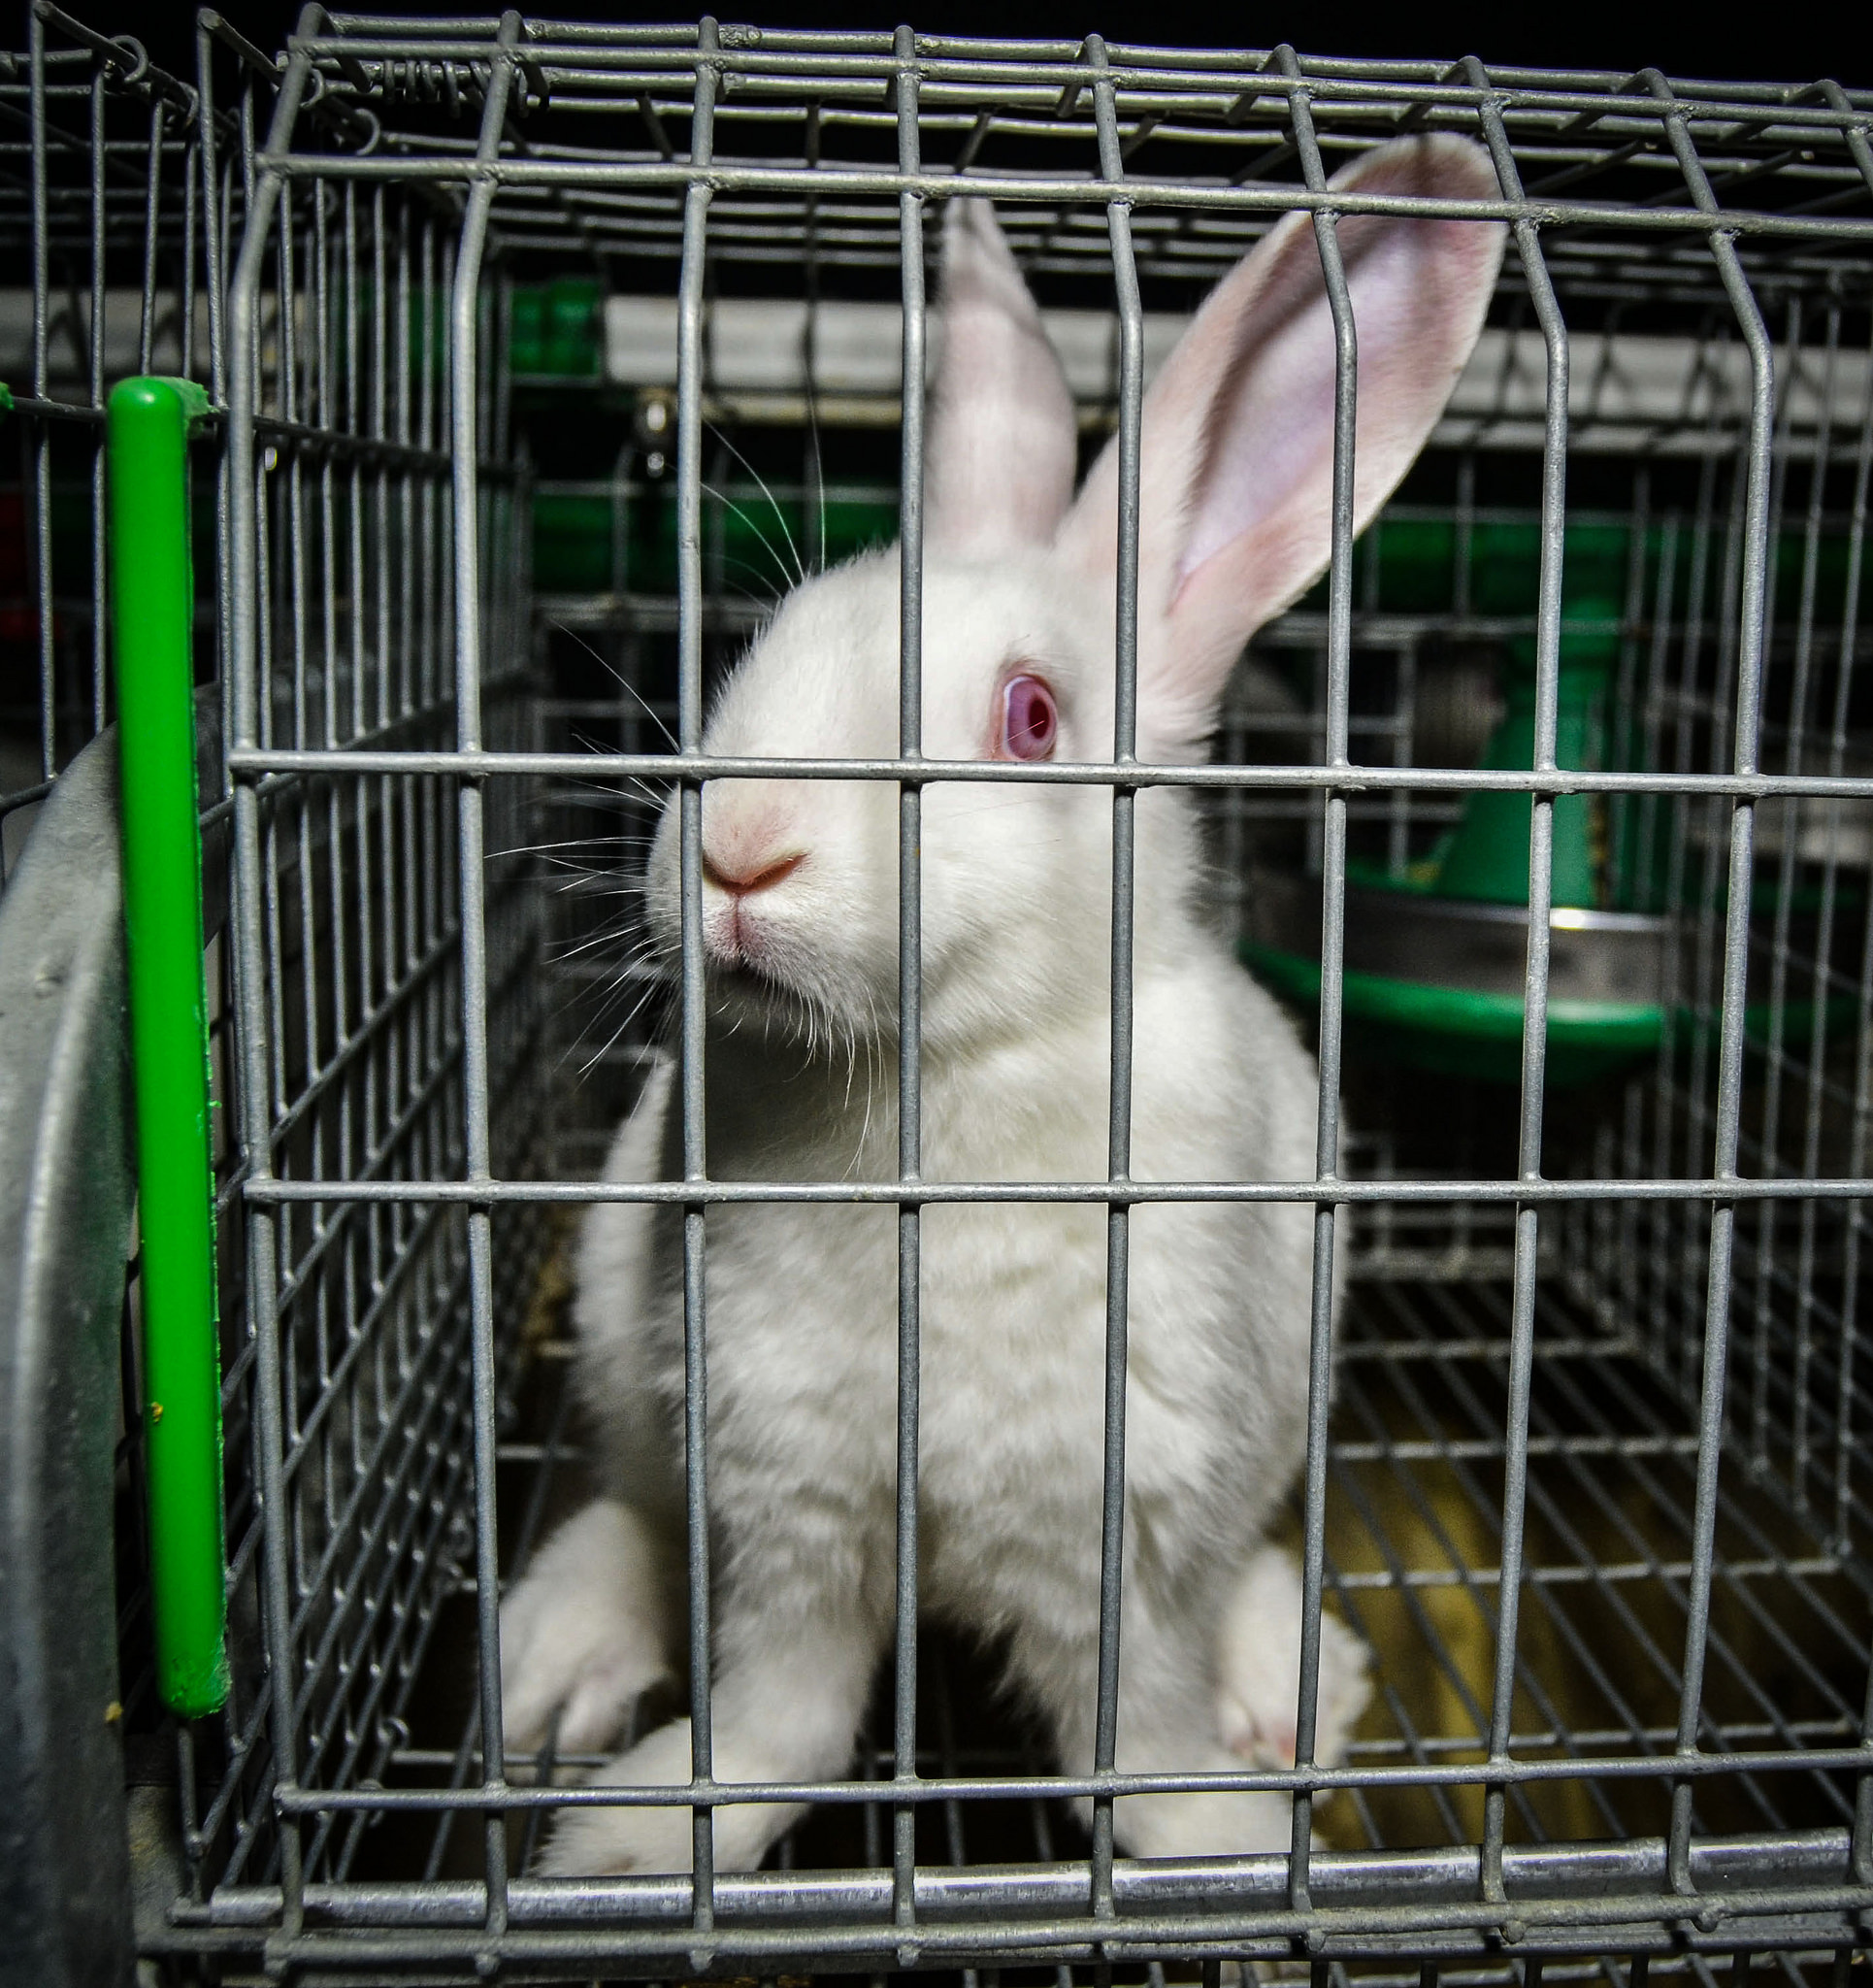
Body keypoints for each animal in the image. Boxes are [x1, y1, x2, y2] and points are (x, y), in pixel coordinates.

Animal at [500, 132, 1505, 1876]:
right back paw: (553, 1666)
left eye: (1033, 716)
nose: (741, 849)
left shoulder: (1129, 1528)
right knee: (632, 1517)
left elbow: (1133, 1741)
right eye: (765, 642)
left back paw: (1288, 1681)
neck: (932, 1090)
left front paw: (1224, 1837)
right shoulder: (786, 1503)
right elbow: (779, 1724)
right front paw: (630, 1839)